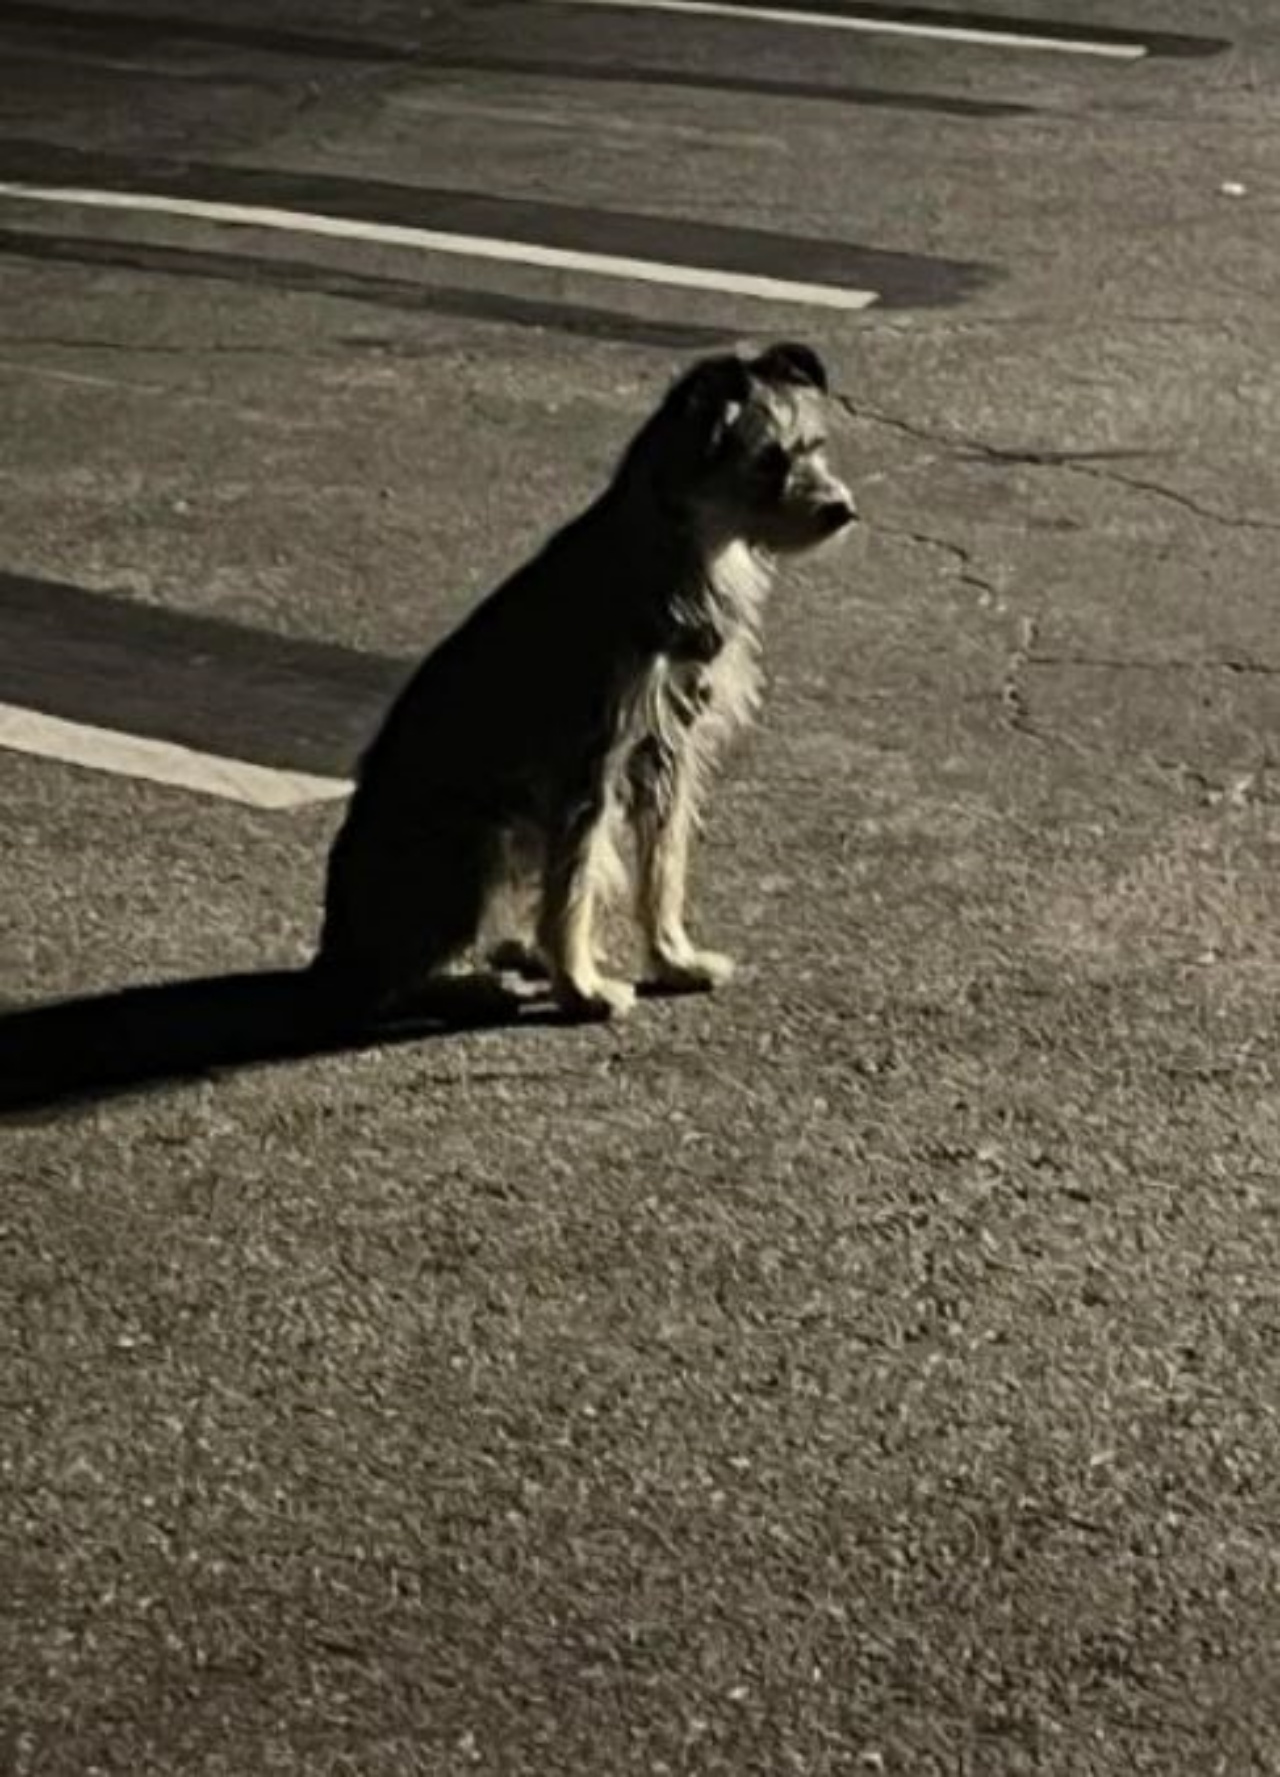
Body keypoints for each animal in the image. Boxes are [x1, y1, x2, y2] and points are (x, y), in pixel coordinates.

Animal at [309, 341, 853, 1030]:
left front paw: (673, 958)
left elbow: (662, 865)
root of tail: (333, 953)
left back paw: (515, 953)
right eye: (769, 461)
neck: (688, 548)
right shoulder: (588, 760)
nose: (843, 509)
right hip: (483, 836)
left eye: (816, 445)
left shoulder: (667, 750)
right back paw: (474, 981)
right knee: (399, 978)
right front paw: (583, 987)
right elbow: (572, 884)